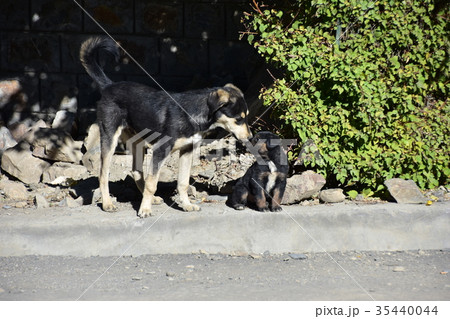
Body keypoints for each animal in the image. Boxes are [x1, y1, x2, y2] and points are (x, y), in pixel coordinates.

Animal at [81, 37, 253, 218]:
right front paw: (144, 210)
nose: (250, 138)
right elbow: (152, 183)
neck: (194, 113)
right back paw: (108, 204)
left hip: (138, 141)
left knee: (136, 171)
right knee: (103, 173)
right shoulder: (160, 150)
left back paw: (151, 199)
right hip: (110, 137)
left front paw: (186, 205)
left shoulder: (187, 150)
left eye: (246, 117)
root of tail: (108, 86)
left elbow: (183, 182)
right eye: (239, 119)